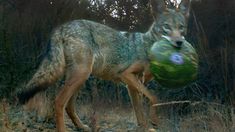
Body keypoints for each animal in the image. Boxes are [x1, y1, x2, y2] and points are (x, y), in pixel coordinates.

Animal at [16, 0, 193, 131]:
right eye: (166, 27)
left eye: (181, 27)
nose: (179, 42)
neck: (148, 46)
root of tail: (62, 27)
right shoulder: (127, 75)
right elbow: (153, 97)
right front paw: (154, 120)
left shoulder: (133, 85)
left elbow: (140, 112)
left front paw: (145, 126)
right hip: (80, 75)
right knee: (59, 102)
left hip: (80, 78)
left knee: (69, 106)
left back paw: (82, 126)